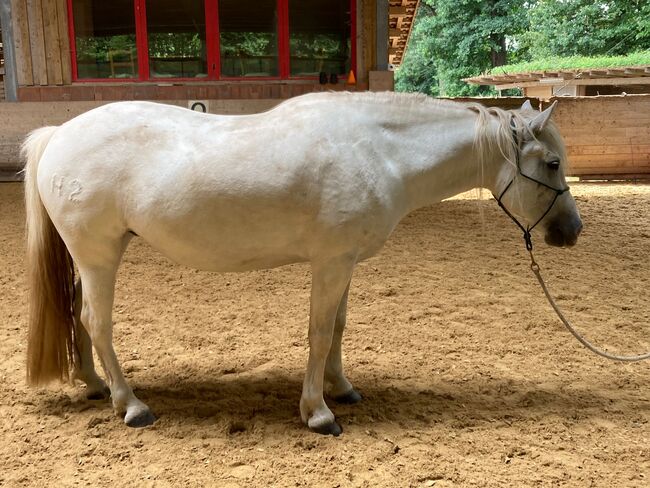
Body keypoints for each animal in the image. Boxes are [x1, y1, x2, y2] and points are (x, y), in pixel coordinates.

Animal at [22, 91, 580, 434]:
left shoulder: (345, 262)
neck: (379, 150)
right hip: (99, 256)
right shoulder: (330, 263)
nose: (571, 231)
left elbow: (338, 327)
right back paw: (131, 405)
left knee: (77, 317)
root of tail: (59, 133)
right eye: (552, 163)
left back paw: (95, 386)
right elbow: (318, 332)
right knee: (96, 321)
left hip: (87, 260)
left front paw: (343, 388)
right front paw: (318, 413)